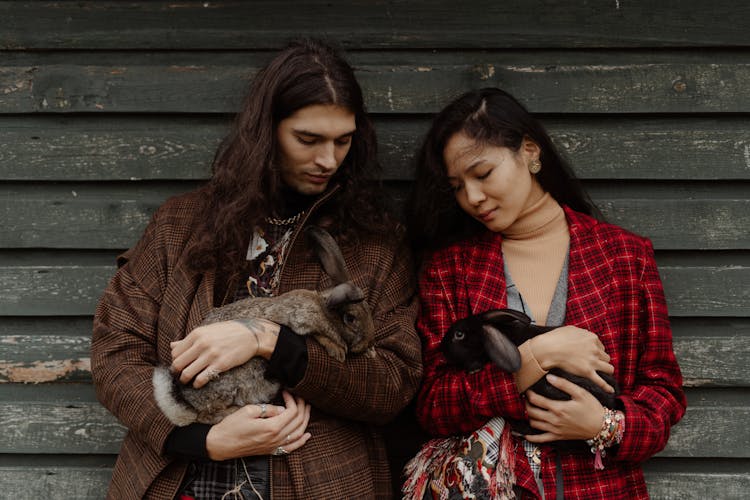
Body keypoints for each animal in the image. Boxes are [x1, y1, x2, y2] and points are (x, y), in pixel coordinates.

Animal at [153, 227, 376, 426]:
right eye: (350, 318)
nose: (367, 342)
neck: (323, 307)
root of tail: (187, 404)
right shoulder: (299, 319)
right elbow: (318, 334)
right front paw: (338, 350)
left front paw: (369, 353)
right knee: (206, 416)